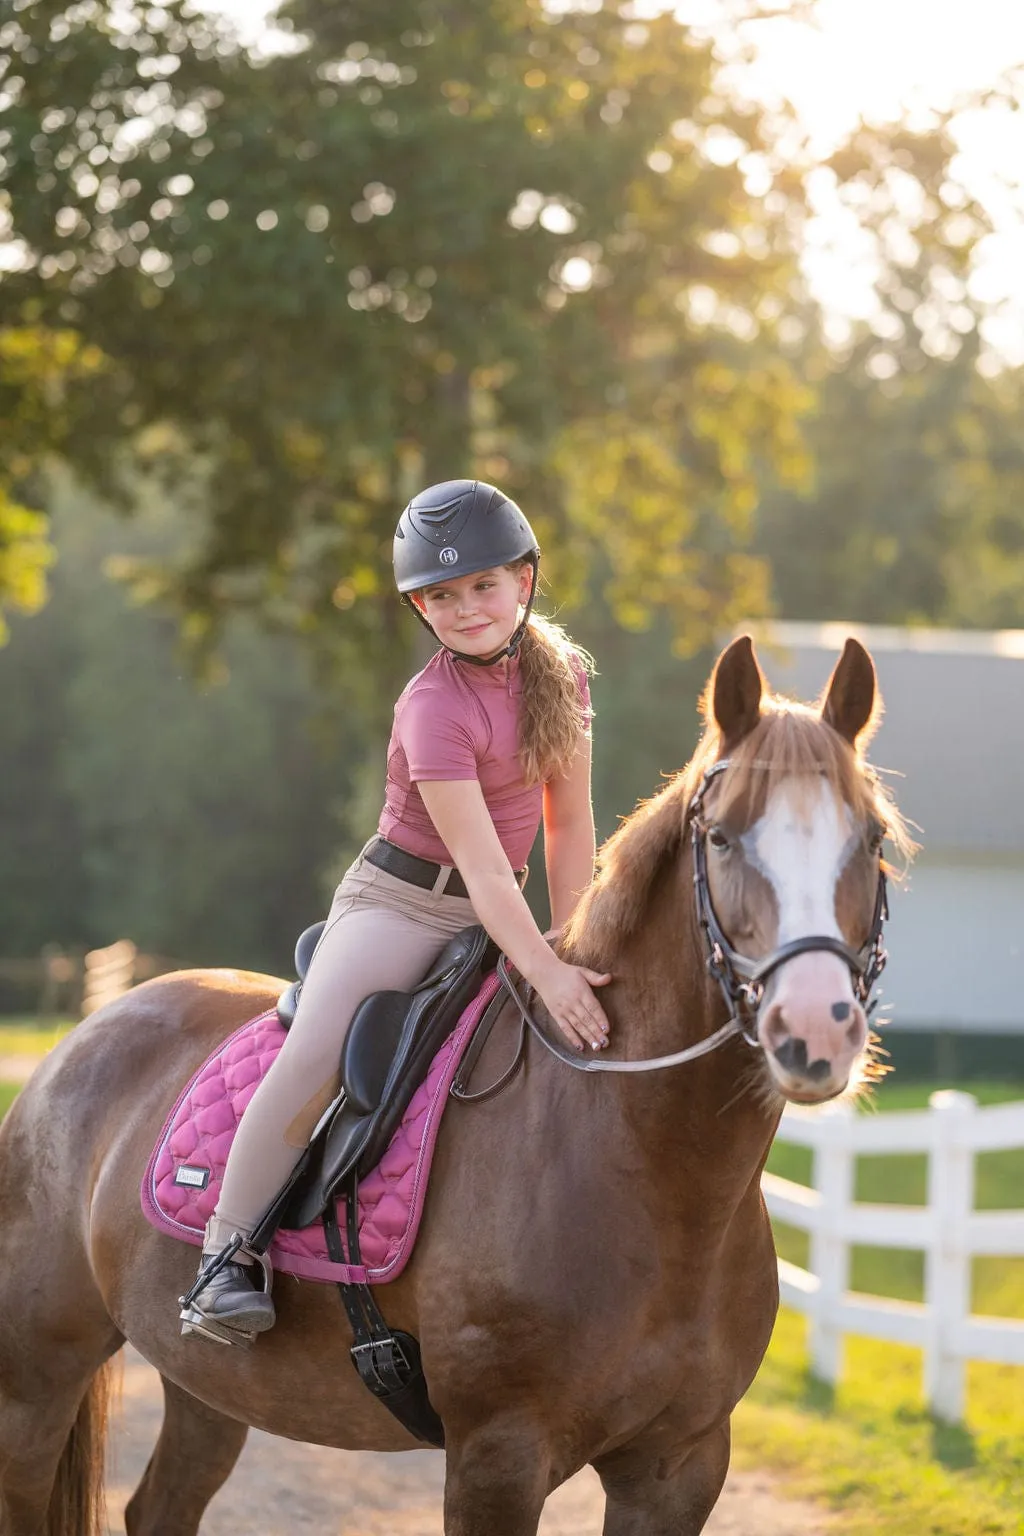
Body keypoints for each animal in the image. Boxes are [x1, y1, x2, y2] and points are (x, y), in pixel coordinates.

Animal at [0, 635, 914, 1536]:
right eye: (722, 839)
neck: (644, 1164)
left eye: (870, 839)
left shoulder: (679, 1465)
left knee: (162, 1505)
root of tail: (80, 1043)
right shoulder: (497, 1458)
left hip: (208, 1385)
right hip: (36, 1380)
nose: (815, 1029)